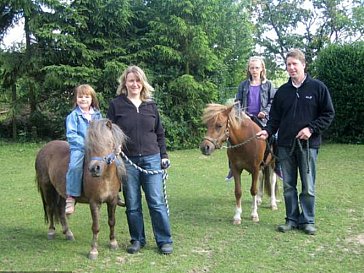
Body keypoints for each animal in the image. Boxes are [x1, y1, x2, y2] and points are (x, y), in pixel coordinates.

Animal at [35, 119, 126, 260]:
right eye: (91, 145)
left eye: (110, 143)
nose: (94, 168)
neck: (105, 178)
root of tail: (44, 149)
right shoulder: (94, 203)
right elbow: (96, 227)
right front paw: (93, 251)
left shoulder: (112, 201)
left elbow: (112, 221)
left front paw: (113, 242)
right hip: (47, 188)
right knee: (50, 209)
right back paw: (51, 231)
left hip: (62, 193)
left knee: (61, 210)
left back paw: (68, 233)